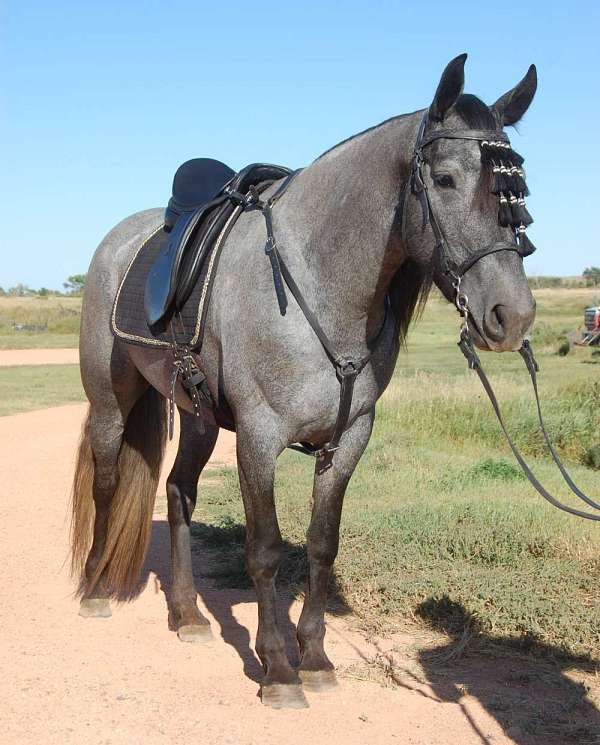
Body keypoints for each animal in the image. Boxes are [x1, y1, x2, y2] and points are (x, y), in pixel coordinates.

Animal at [70, 54, 538, 709]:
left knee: (180, 491)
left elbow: (321, 544)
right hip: (112, 402)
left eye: (516, 189)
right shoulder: (259, 437)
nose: (512, 316)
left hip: (197, 416)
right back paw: (93, 591)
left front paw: (314, 657)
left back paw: (188, 615)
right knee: (109, 482)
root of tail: (121, 239)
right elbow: (264, 549)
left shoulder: (347, 440)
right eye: (444, 179)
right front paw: (278, 669)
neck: (316, 284)